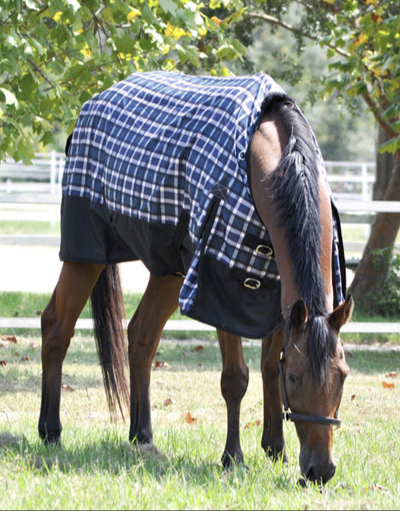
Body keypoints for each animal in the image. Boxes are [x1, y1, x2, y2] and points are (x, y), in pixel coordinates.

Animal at [39, 71, 354, 484]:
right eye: (297, 379)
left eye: (343, 376)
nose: (320, 470)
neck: (271, 161)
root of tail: (95, 102)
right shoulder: (223, 290)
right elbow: (236, 379)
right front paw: (233, 457)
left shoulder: (276, 294)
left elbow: (269, 365)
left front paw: (275, 448)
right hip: (85, 252)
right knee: (56, 327)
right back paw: (50, 432)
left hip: (170, 270)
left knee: (141, 337)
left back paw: (142, 436)